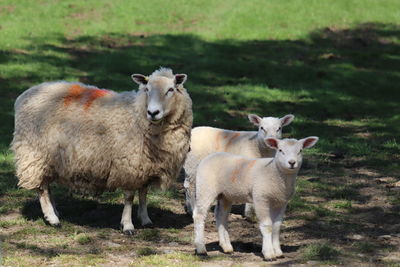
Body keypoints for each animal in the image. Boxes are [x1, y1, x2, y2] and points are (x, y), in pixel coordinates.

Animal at [11, 68, 193, 236]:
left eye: (171, 89)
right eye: (147, 89)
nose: (152, 112)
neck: (137, 113)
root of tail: (27, 93)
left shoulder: (145, 166)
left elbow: (143, 193)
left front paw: (145, 219)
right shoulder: (127, 164)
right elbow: (129, 197)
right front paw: (127, 225)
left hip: (51, 158)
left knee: (47, 185)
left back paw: (55, 212)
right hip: (34, 153)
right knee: (41, 187)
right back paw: (52, 219)